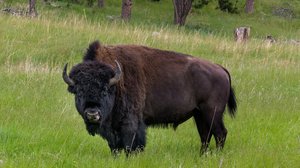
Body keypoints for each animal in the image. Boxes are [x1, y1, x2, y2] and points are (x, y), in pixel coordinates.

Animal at [62, 40, 237, 155]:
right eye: (79, 91)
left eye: (105, 90)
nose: (92, 114)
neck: (116, 82)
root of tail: (220, 68)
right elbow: (114, 146)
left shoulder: (131, 122)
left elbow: (131, 143)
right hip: (199, 114)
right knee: (205, 135)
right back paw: (202, 156)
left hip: (212, 113)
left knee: (220, 133)